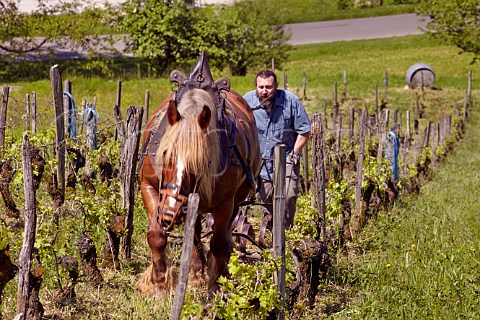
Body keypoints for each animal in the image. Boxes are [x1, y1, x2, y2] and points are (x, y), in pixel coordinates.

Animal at [137, 85, 260, 298]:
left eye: (201, 161)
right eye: (165, 153)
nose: (170, 212)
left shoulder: (225, 204)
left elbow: (218, 244)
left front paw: (216, 286)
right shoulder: (149, 186)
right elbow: (156, 236)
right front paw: (159, 284)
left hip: (234, 202)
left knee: (224, 236)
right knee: (193, 235)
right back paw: (195, 274)